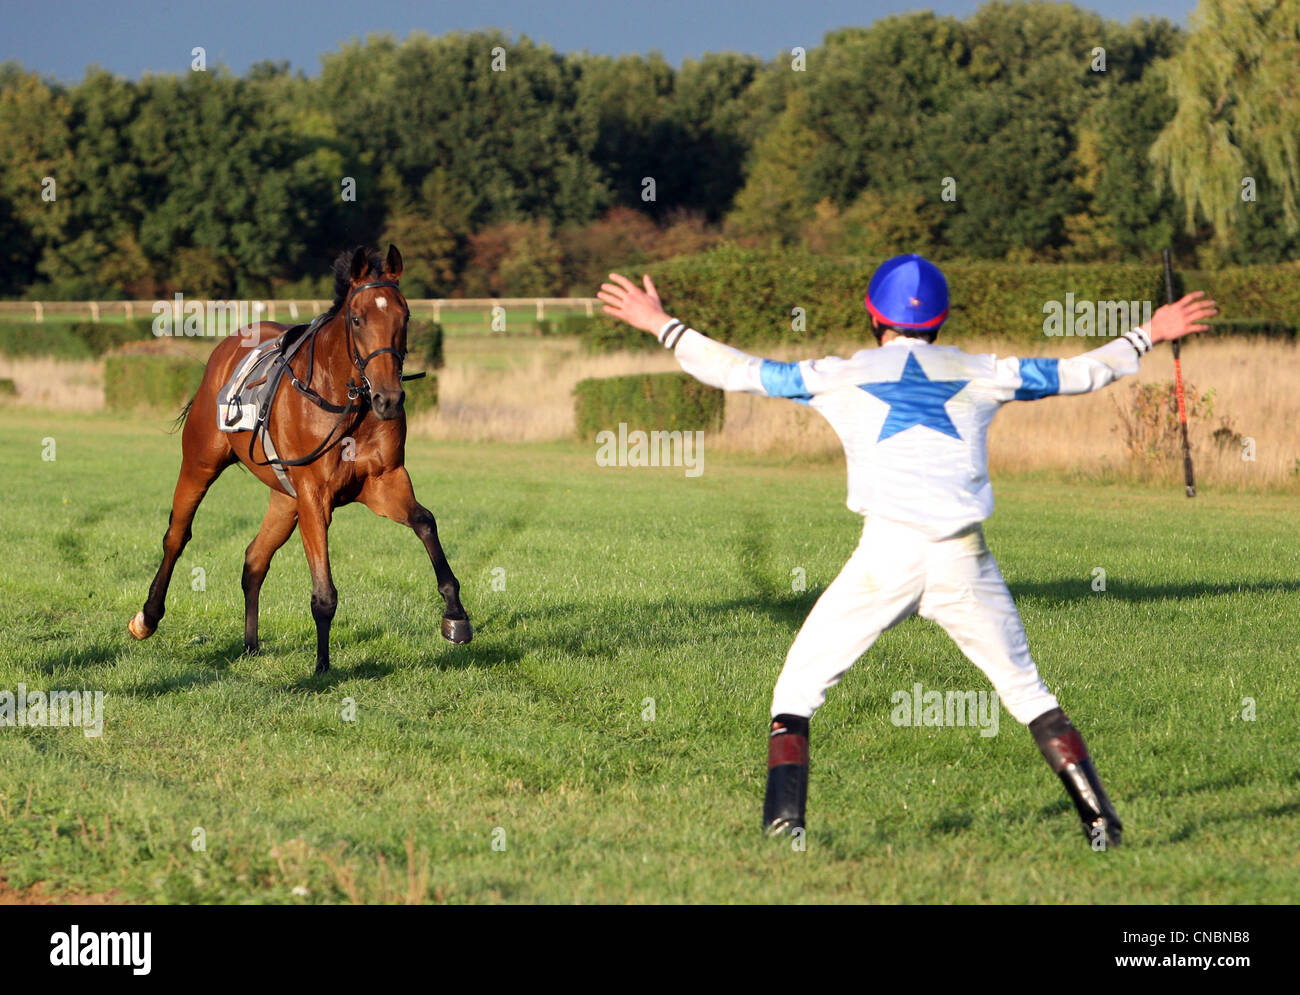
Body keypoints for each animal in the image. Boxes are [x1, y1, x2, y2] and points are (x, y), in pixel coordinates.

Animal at [125, 243, 473, 671]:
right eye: (357, 319)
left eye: (404, 315)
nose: (388, 398)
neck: (345, 402)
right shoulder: (314, 495)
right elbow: (324, 591)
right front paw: (322, 667)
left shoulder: (383, 481)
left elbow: (425, 522)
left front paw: (455, 615)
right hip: (201, 462)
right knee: (177, 536)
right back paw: (147, 617)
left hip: (284, 498)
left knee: (254, 558)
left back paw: (250, 644)